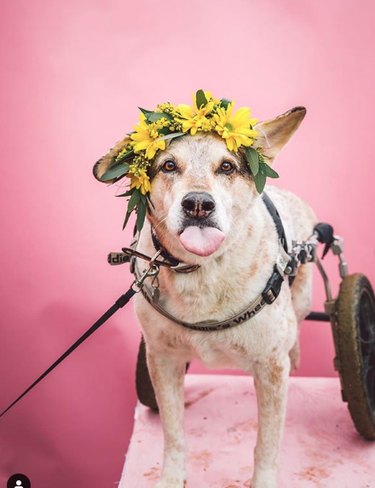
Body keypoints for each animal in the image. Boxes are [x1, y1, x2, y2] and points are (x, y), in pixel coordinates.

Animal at [94, 107, 318, 488]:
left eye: (226, 166)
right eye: (169, 165)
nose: (198, 203)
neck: (202, 272)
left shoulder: (271, 366)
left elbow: (268, 443)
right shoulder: (162, 358)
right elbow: (173, 431)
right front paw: (172, 477)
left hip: (302, 296)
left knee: (298, 326)